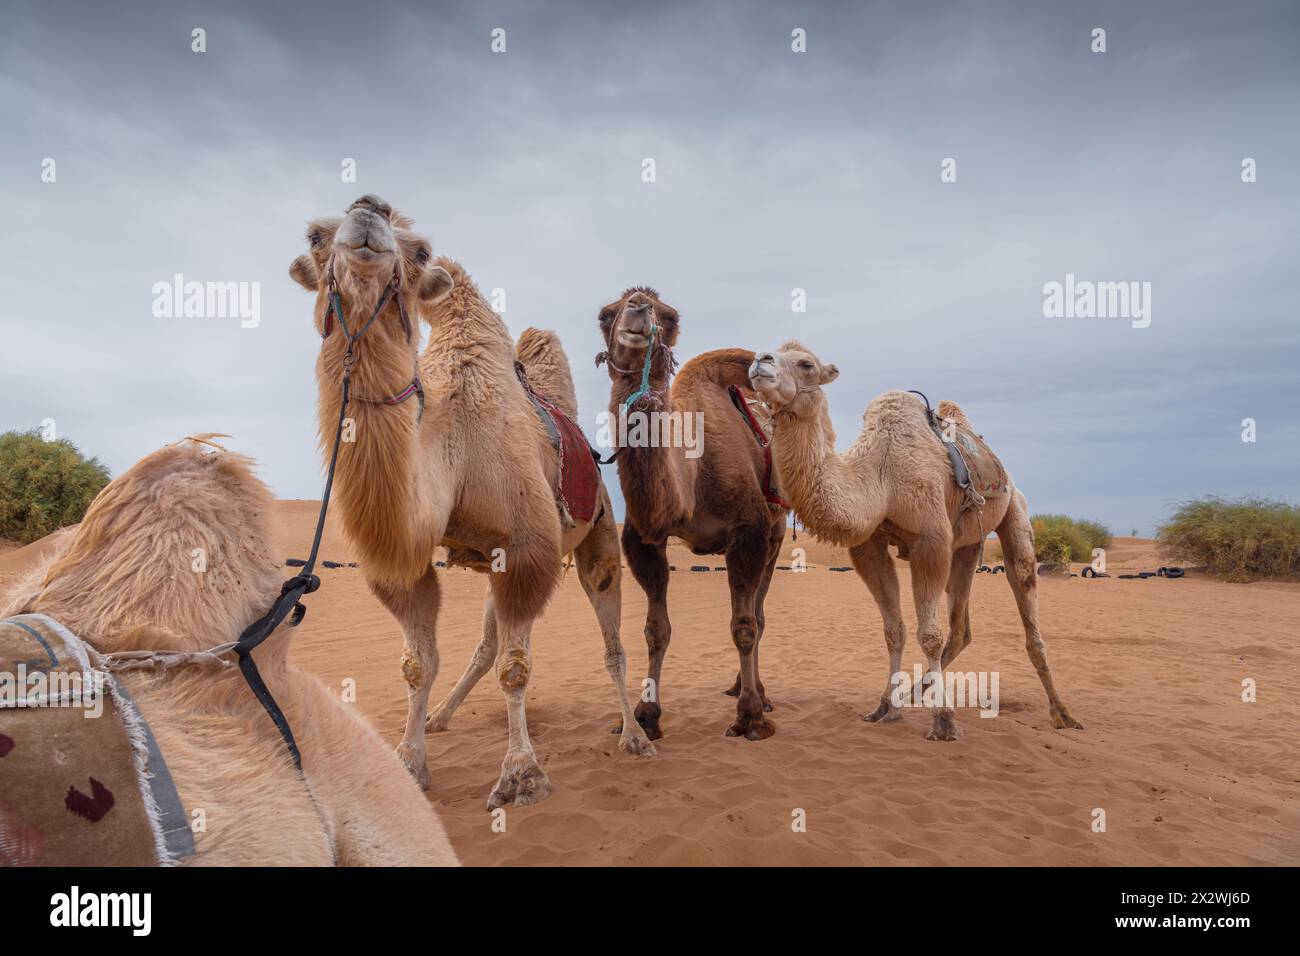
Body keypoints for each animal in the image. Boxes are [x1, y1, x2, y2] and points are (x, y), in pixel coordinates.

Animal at [287, 197, 647, 811]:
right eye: (315, 235)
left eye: (422, 251)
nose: (369, 211)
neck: (450, 448)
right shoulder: (410, 564)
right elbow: (418, 663)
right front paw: (410, 761)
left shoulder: (527, 549)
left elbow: (516, 667)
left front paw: (521, 776)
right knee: (484, 645)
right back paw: (439, 717)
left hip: (598, 529)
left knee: (611, 639)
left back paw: (635, 735)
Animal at [595, 287, 785, 743]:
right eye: (605, 314)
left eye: (670, 317)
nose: (638, 307)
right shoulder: (644, 538)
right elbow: (655, 629)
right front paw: (645, 715)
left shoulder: (749, 532)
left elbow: (744, 625)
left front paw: (751, 717)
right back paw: (738, 686)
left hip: (776, 533)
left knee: (759, 613)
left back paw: (757, 693)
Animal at [748, 343, 1081, 738]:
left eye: (806, 364)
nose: (760, 361)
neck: (881, 476)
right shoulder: (869, 547)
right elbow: (895, 630)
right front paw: (886, 706)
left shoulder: (931, 540)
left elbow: (929, 634)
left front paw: (944, 721)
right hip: (967, 547)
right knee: (961, 628)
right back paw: (913, 693)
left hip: (1015, 512)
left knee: (1025, 601)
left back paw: (1062, 713)